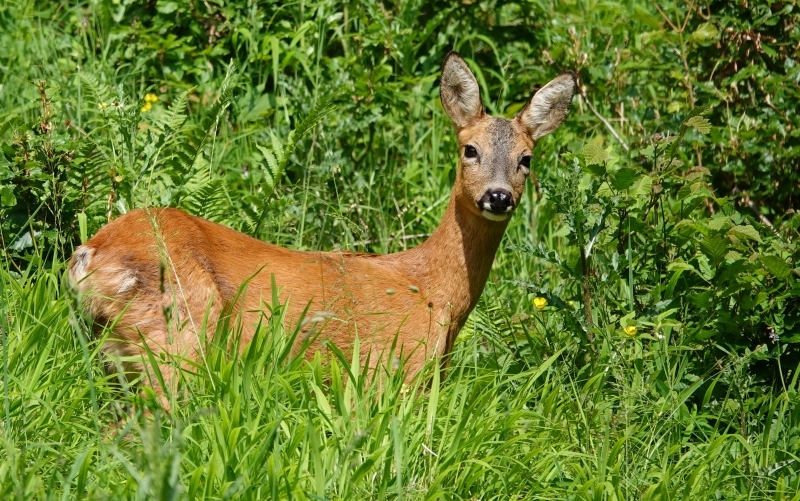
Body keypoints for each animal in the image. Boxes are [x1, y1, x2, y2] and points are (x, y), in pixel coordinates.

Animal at [68, 52, 575, 407]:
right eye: (470, 149)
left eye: (526, 159)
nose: (498, 197)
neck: (434, 291)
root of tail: (88, 256)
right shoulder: (393, 370)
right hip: (181, 332)